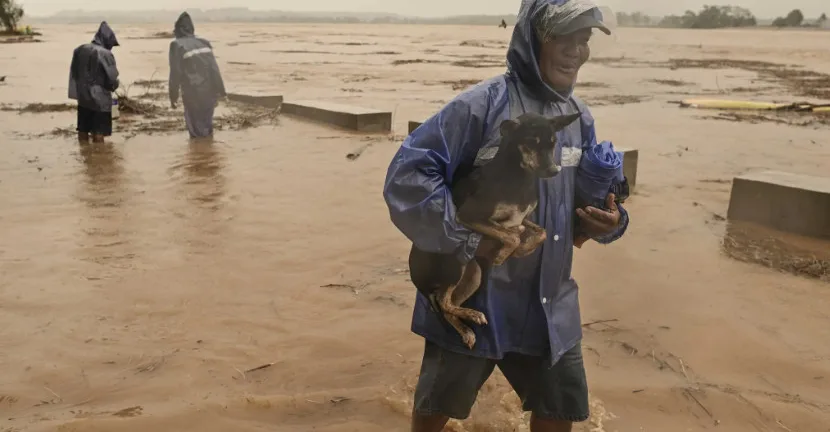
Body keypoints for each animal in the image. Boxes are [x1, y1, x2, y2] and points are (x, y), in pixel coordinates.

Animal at [408, 110, 580, 348]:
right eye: (531, 142)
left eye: (553, 143)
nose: (554, 170)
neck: (518, 178)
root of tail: (415, 275)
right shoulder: (469, 216)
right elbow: (511, 236)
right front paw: (503, 254)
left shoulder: (523, 218)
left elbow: (541, 233)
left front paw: (523, 249)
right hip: (455, 264)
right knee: (443, 302)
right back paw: (473, 315)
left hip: (473, 274)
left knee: (448, 306)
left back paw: (466, 329)